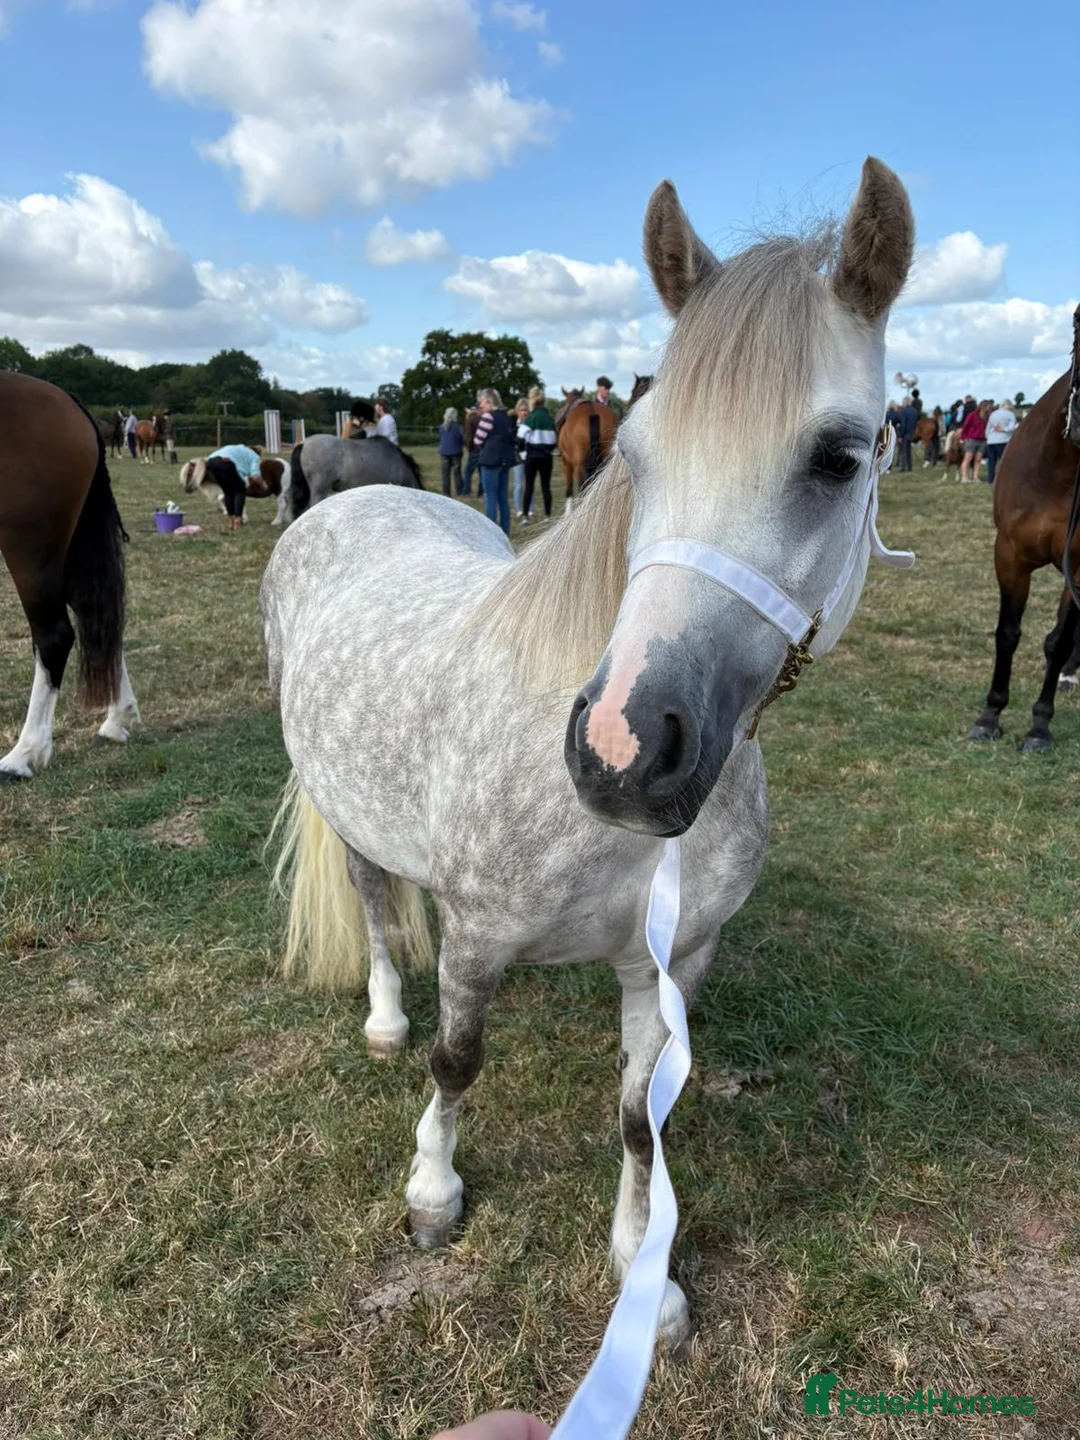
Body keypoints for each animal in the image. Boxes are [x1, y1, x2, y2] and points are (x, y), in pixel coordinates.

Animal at [0, 374, 140, 781]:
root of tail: (67, 401)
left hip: (30, 546)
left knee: (55, 634)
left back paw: (22, 755)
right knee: (98, 621)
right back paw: (115, 719)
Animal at [967, 334, 1080, 752]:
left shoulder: (1078, 565)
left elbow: (1058, 641)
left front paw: (1039, 726)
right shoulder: (1009, 555)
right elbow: (1007, 635)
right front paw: (990, 716)